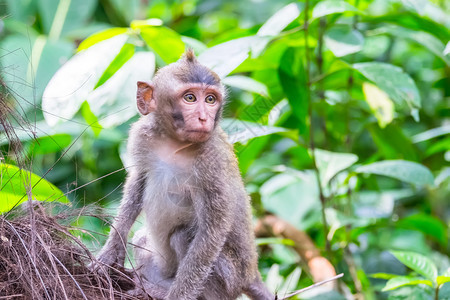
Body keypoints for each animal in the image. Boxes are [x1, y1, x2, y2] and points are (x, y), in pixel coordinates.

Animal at [93, 49, 272, 300]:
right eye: (190, 98)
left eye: (210, 100)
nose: (204, 118)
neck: (175, 143)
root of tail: (251, 274)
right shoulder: (142, 135)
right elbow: (138, 180)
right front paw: (111, 250)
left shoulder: (213, 162)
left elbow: (213, 229)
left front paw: (177, 296)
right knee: (141, 238)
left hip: (229, 280)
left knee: (183, 236)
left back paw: (161, 290)